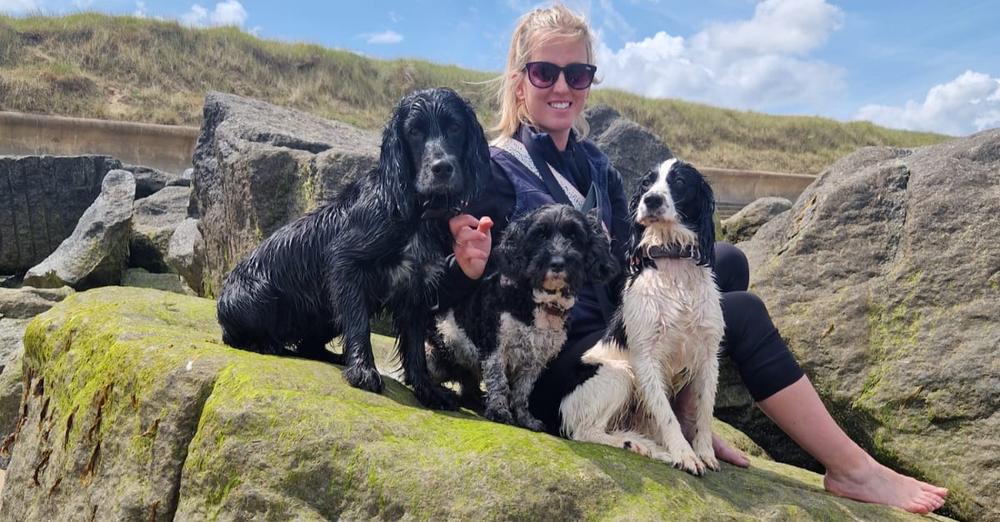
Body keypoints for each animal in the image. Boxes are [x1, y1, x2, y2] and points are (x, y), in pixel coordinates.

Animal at [216, 87, 489, 410]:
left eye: (456, 128)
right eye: (414, 132)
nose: (442, 168)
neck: (415, 212)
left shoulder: (414, 288)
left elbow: (415, 350)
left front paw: (428, 391)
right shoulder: (346, 265)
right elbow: (359, 326)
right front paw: (363, 370)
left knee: (309, 346)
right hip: (256, 294)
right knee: (237, 336)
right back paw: (264, 343)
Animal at [426, 204, 618, 430]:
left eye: (574, 235)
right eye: (540, 234)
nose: (558, 262)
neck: (538, 301)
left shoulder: (536, 359)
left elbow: (523, 391)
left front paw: (525, 418)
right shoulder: (495, 345)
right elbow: (499, 380)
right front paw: (499, 411)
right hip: (437, 355)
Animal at [559, 158, 724, 475]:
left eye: (679, 181)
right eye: (647, 183)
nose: (652, 200)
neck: (674, 269)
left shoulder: (708, 355)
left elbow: (704, 411)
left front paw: (705, 452)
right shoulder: (646, 357)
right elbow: (667, 414)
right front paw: (685, 454)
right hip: (619, 374)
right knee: (584, 431)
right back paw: (640, 446)